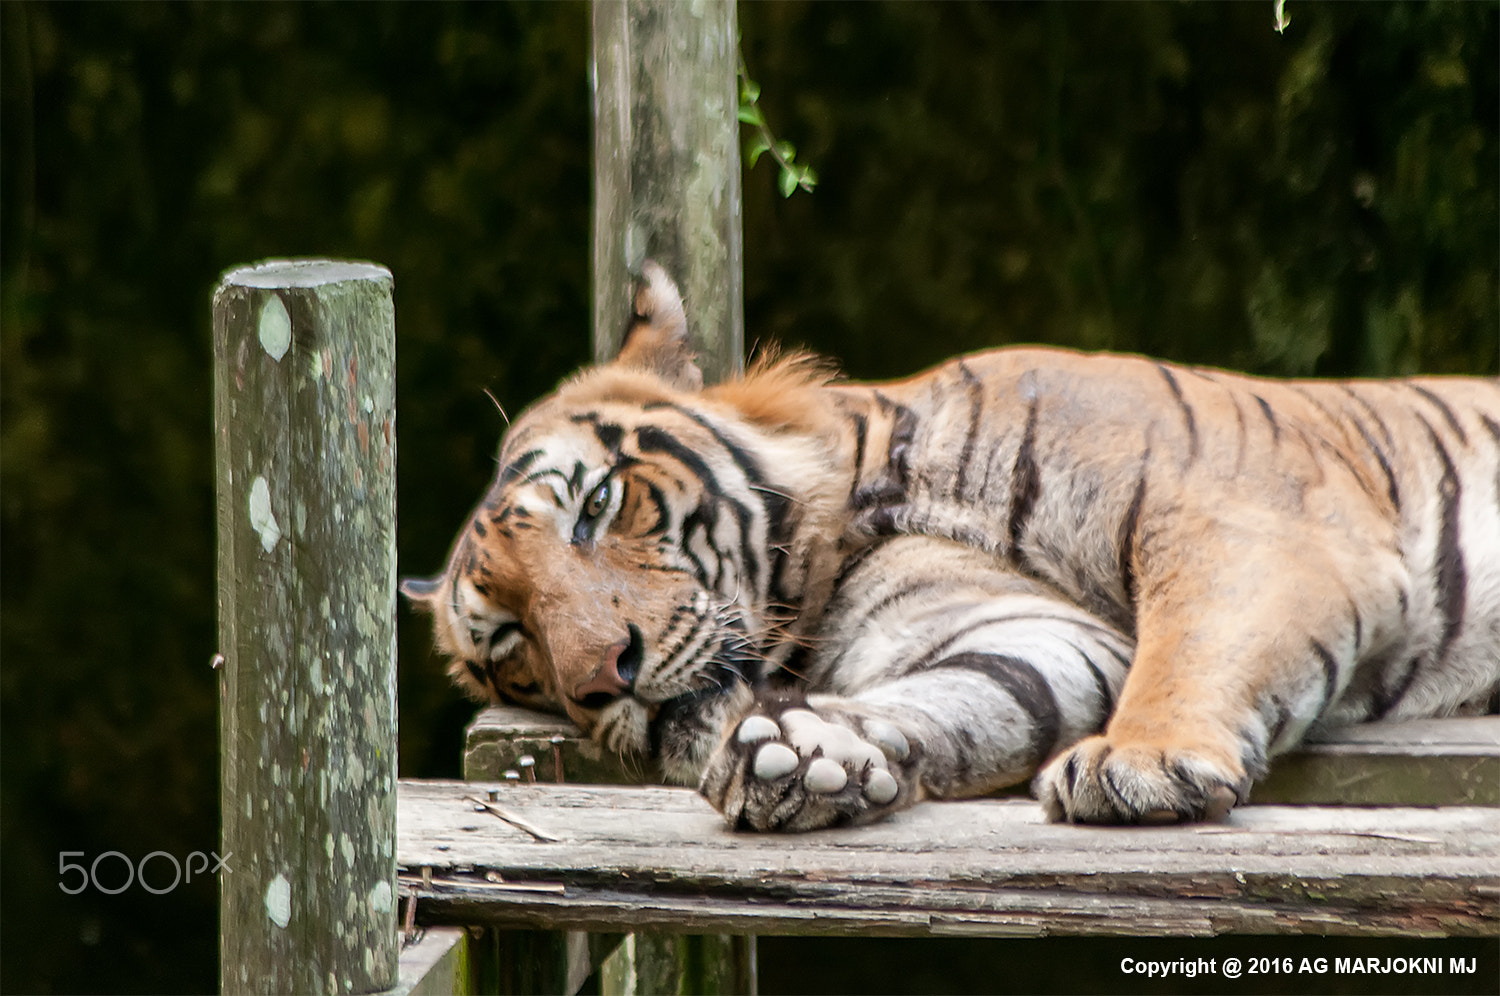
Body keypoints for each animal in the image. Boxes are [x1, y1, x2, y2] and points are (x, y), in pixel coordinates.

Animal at [403, 262, 1500, 830]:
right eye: (511, 647)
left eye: (594, 507)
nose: (605, 678)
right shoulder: (1024, 626)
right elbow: (976, 691)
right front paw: (806, 756)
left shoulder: (1241, 521)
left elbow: (1194, 642)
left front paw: (1139, 761)